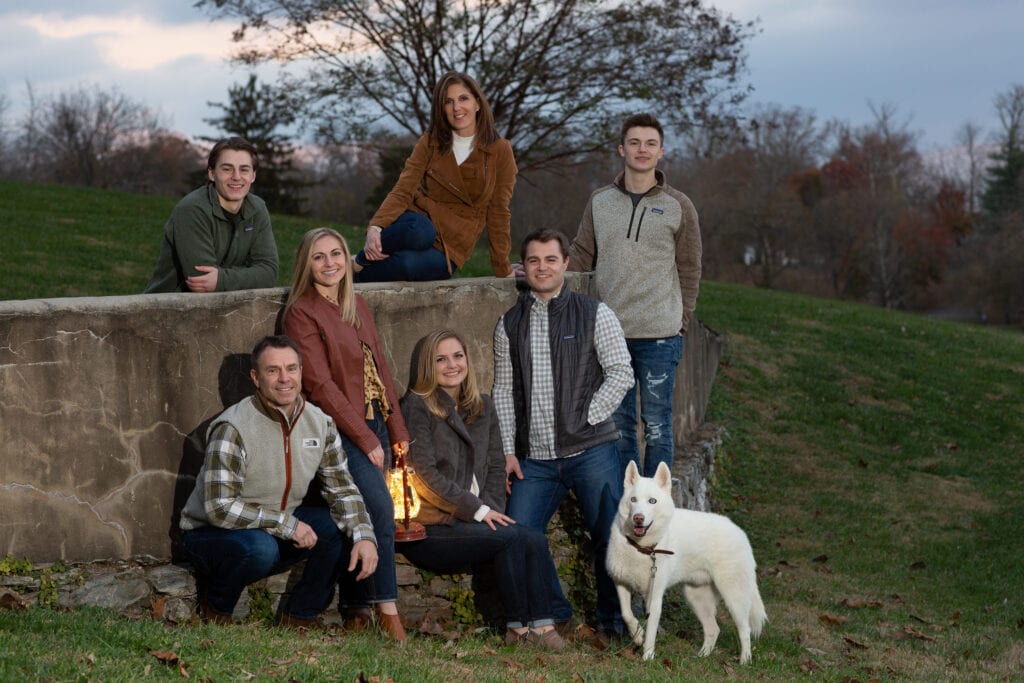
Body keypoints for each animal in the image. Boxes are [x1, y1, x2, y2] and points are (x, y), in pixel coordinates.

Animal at [602, 458, 765, 663]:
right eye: (633, 500)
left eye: (652, 501)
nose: (638, 518)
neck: (643, 548)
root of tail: (739, 531)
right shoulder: (621, 583)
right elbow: (626, 614)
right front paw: (637, 635)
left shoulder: (654, 597)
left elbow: (651, 632)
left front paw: (648, 657)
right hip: (697, 597)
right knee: (714, 629)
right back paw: (702, 656)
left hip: (734, 596)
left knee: (745, 630)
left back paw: (744, 660)